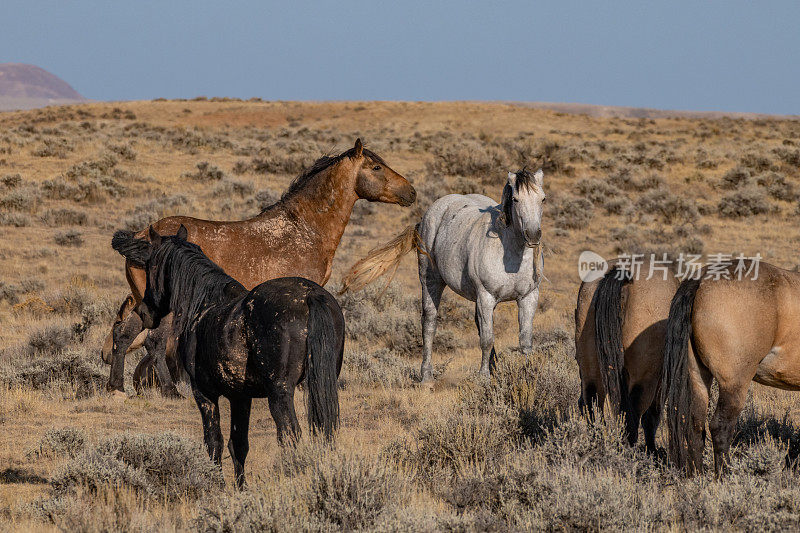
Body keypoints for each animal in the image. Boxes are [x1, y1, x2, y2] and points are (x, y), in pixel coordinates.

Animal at [103, 139, 416, 396]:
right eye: (376, 167)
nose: (411, 192)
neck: (302, 228)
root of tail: (142, 236)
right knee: (154, 342)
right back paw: (170, 391)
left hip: (144, 304)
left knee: (124, 335)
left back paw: (116, 387)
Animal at [112, 224, 344, 486]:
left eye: (152, 266)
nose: (144, 312)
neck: (204, 303)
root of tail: (310, 296)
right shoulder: (240, 397)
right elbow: (239, 444)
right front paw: (240, 487)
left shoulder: (204, 393)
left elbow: (214, 441)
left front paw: (217, 483)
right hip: (321, 384)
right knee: (325, 430)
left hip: (280, 392)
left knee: (289, 434)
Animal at [340, 168, 548, 380]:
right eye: (515, 199)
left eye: (542, 199)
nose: (533, 235)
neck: (509, 252)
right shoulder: (486, 297)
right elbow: (487, 340)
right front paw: (484, 377)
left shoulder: (528, 297)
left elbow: (525, 340)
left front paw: (528, 374)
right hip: (430, 281)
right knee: (429, 324)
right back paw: (426, 376)